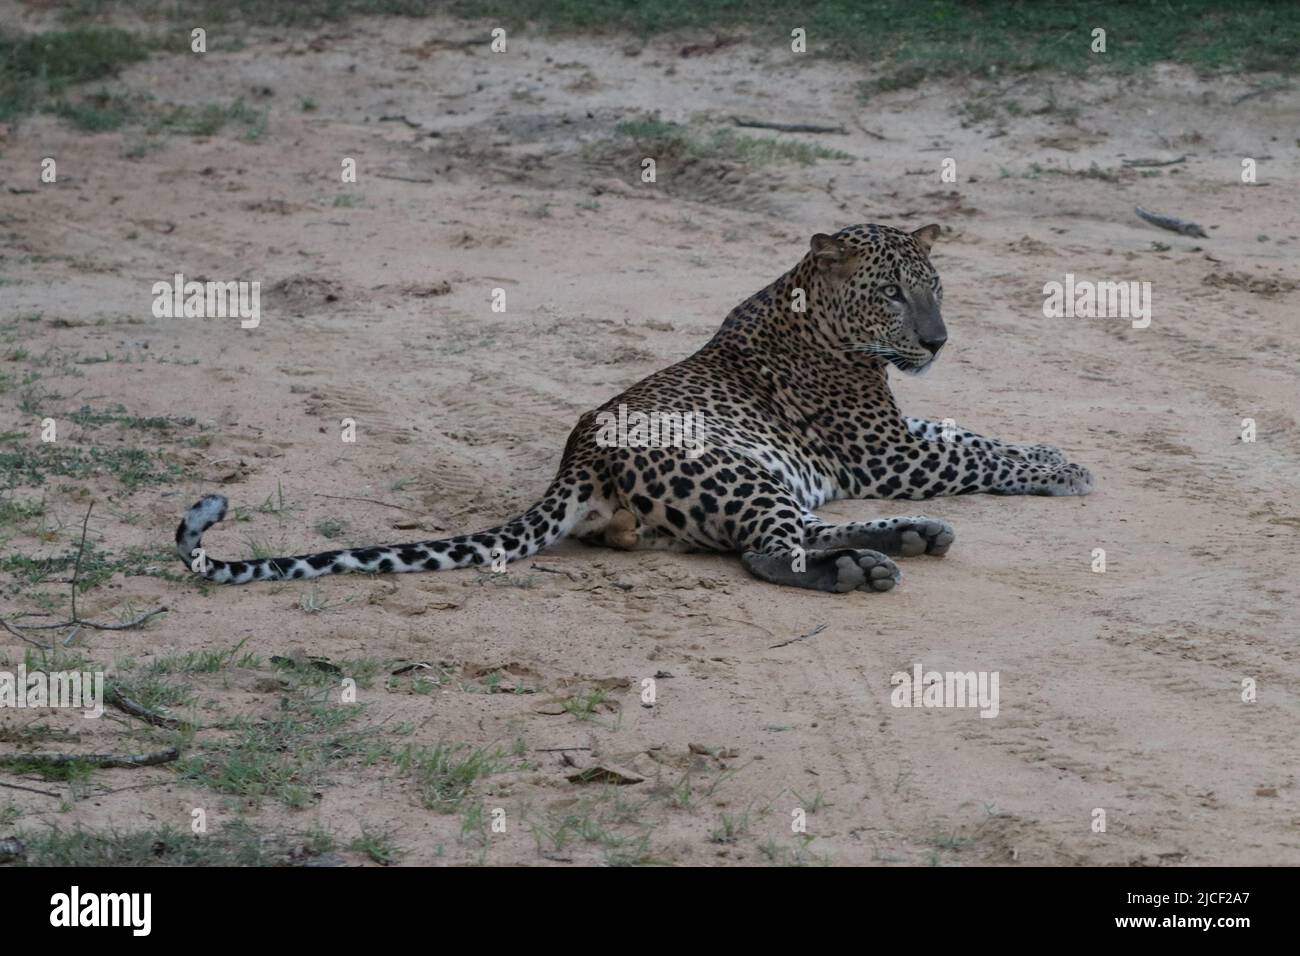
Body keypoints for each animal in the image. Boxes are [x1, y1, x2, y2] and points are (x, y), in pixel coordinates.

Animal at [175, 226, 1086, 598]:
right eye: (894, 293)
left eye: (937, 289)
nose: (938, 341)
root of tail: (578, 457)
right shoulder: (885, 452)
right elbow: (979, 453)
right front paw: (1069, 470)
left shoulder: (898, 435)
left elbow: (975, 435)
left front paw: (1056, 453)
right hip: (735, 471)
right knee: (770, 553)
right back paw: (871, 567)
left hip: (757, 481)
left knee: (797, 532)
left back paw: (907, 539)